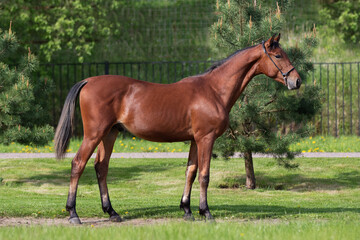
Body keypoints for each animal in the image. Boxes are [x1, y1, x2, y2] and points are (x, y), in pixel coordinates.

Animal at [53, 32, 300, 224]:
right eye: (278, 55)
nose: (296, 81)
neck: (213, 90)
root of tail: (89, 80)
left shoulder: (194, 140)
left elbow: (190, 171)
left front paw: (187, 210)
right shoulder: (206, 138)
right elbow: (204, 175)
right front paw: (205, 212)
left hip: (110, 134)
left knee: (101, 167)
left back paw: (112, 212)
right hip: (94, 134)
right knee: (78, 164)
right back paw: (73, 213)